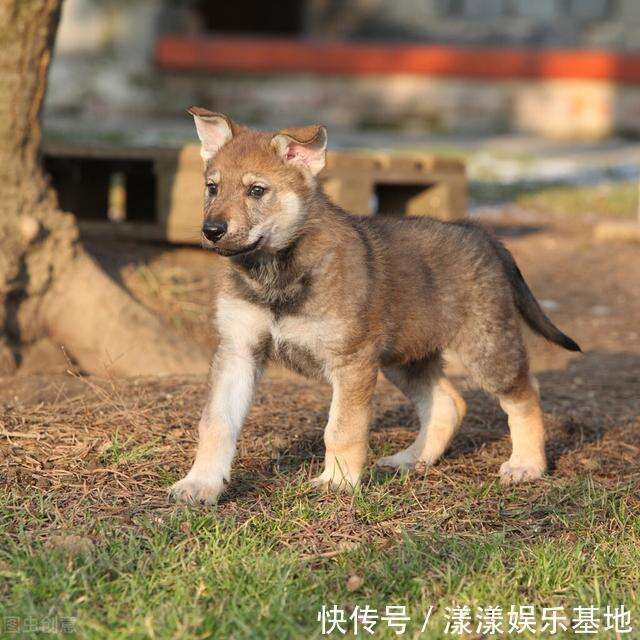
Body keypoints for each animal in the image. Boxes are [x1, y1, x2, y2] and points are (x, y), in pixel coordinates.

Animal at [170, 106, 580, 504]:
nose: (211, 230)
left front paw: (337, 482)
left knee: (525, 395)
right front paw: (201, 484)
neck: (276, 273)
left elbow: (342, 428)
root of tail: (480, 232)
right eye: (212, 187)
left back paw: (527, 464)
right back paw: (411, 460)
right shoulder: (238, 351)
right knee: (448, 404)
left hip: (487, 349)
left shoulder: (351, 361)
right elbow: (216, 424)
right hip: (406, 357)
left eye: (256, 190)